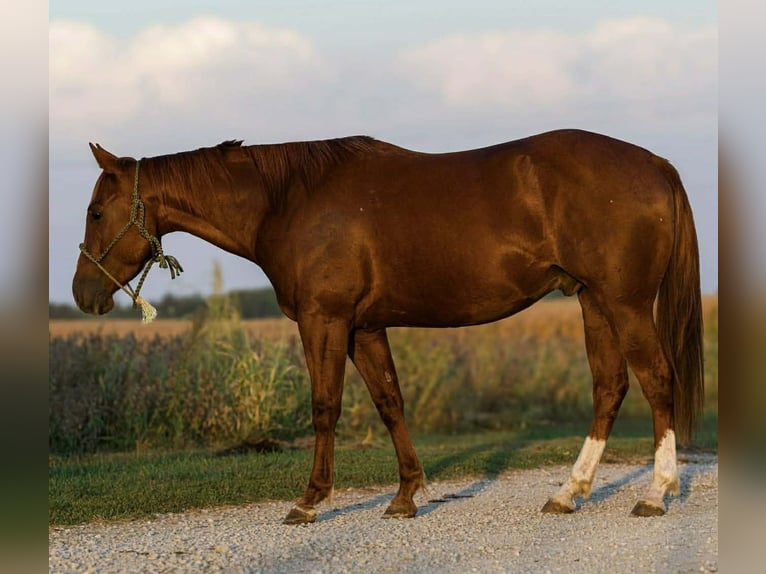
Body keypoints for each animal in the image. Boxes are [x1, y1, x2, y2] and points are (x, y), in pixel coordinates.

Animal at [72, 129, 703, 523]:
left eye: (97, 212)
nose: (82, 294)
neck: (288, 200)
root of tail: (657, 165)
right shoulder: (365, 328)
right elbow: (389, 401)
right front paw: (405, 495)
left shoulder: (324, 320)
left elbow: (324, 406)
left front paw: (308, 502)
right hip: (594, 301)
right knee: (610, 387)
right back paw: (568, 493)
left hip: (624, 303)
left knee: (657, 380)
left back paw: (655, 494)